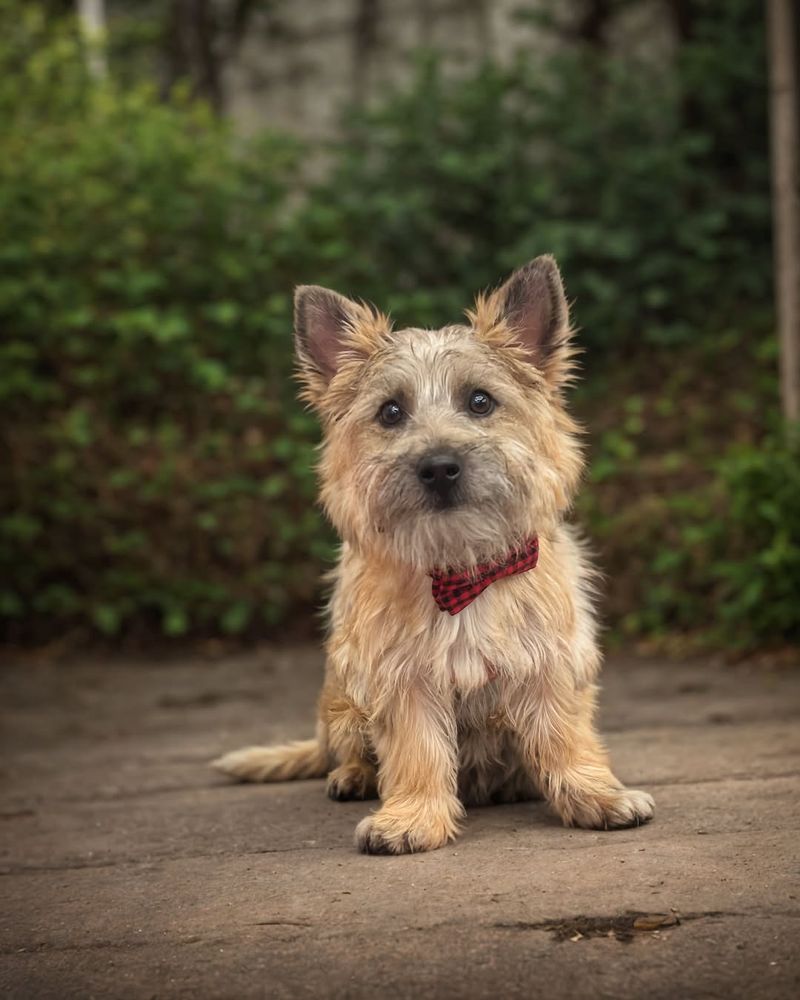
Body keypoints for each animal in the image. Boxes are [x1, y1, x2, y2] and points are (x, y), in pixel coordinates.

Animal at [209, 256, 652, 852]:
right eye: (390, 412)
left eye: (481, 401)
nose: (439, 466)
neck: (462, 570)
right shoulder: (404, 679)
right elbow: (417, 750)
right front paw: (413, 819)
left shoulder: (549, 665)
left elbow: (564, 737)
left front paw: (596, 796)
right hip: (343, 692)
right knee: (351, 750)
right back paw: (352, 776)